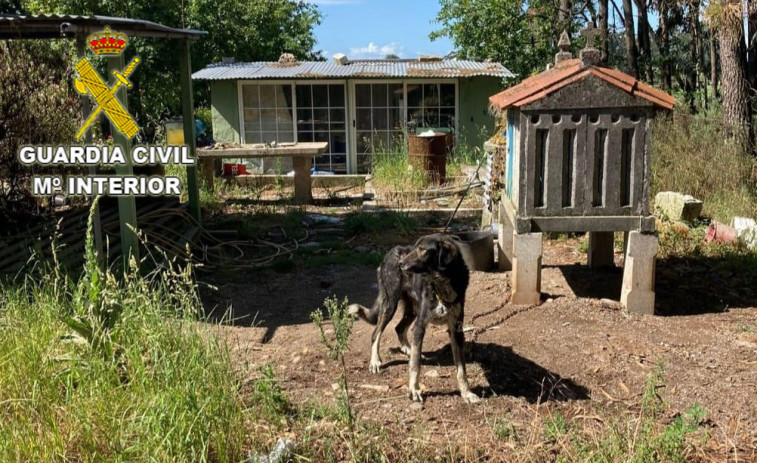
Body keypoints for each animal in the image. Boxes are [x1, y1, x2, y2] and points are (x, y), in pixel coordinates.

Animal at [348, 234, 478, 404]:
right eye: (415, 247)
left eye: (422, 249)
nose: (401, 264)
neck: (441, 285)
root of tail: (391, 252)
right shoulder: (420, 326)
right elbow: (416, 365)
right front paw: (414, 390)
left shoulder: (456, 329)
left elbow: (462, 369)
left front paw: (466, 393)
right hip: (390, 305)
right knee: (376, 333)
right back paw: (375, 361)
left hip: (412, 311)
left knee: (399, 328)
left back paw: (408, 350)